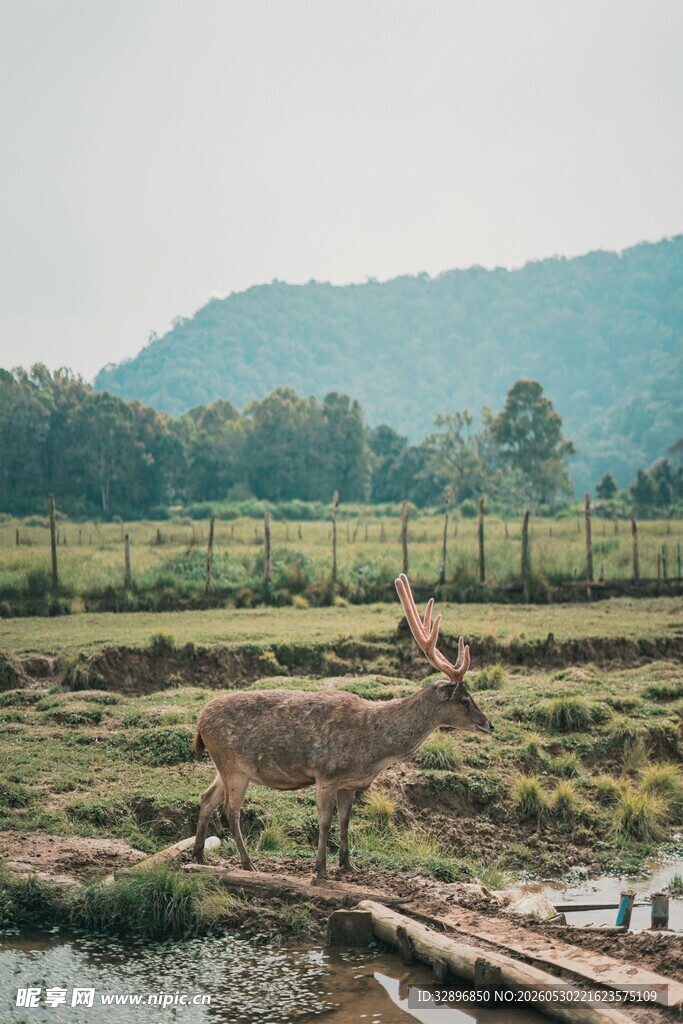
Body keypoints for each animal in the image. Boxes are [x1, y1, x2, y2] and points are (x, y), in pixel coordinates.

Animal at [192, 573, 494, 881]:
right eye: (465, 700)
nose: (490, 725)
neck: (372, 750)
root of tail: (200, 722)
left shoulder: (350, 783)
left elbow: (346, 819)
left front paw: (348, 864)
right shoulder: (326, 774)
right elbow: (325, 821)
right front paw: (320, 871)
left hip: (225, 766)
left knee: (207, 798)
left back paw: (199, 855)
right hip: (233, 765)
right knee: (231, 810)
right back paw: (247, 863)